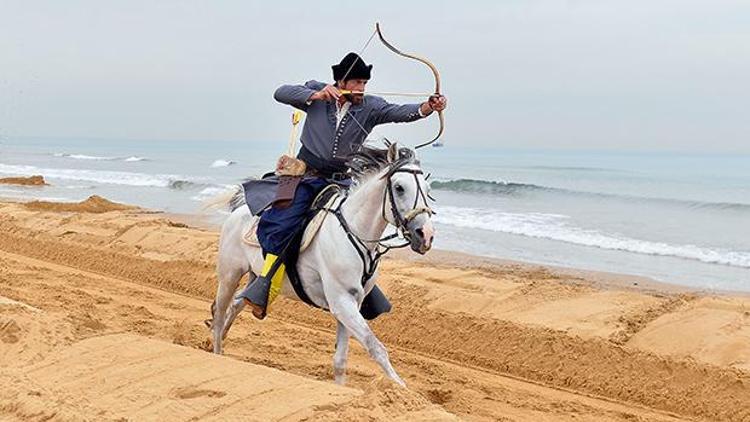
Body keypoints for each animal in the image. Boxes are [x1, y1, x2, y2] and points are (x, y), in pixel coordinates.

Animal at [209, 143, 438, 388]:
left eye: (427, 188)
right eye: (399, 187)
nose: (425, 235)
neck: (353, 231)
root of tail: (238, 211)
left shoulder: (351, 304)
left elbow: (341, 359)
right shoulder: (342, 302)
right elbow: (375, 346)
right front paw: (400, 387)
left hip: (255, 277)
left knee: (237, 304)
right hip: (230, 274)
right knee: (220, 310)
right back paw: (217, 351)